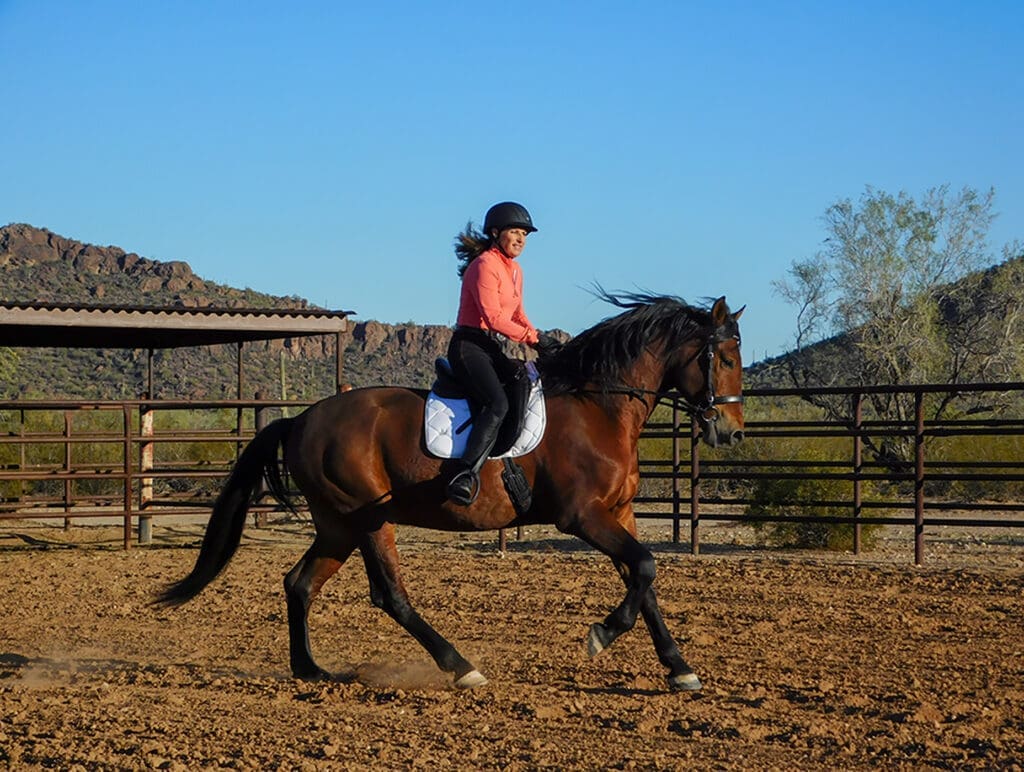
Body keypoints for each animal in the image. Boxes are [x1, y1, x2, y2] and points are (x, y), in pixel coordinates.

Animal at [155, 290, 741, 688]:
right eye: (727, 359)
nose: (731, 433)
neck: (598, 405)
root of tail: (300, 418)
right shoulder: (584, 516)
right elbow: (645, 567)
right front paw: (602, 634)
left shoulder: (618, 514)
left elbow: (645, 581)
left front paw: (679, 669)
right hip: (367, 518)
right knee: (389, 595)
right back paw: (461, 667)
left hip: (337, 525)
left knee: (299, 584)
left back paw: (310, 670)